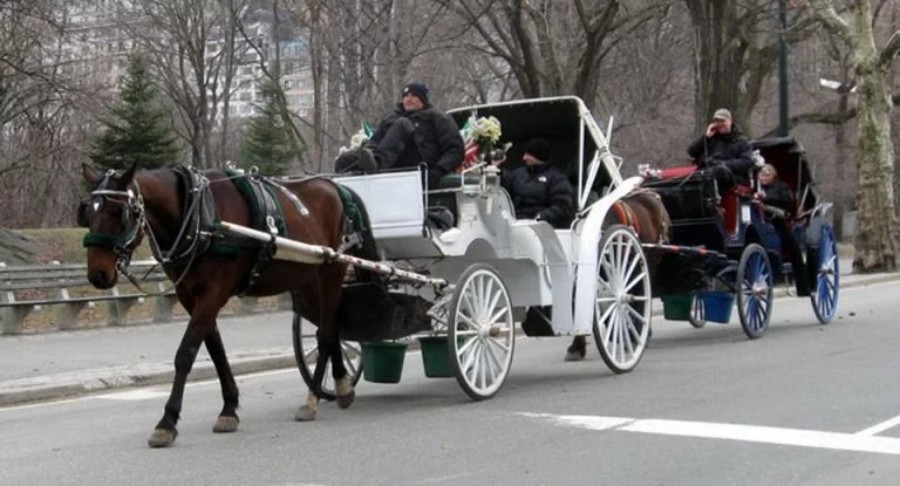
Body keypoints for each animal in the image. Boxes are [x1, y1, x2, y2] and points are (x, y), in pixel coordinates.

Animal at [74, 164, 376, 448]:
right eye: (87, 212)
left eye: (121, 213)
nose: (98, 274)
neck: (199, 217)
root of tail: (337, 188)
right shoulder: (190, 296)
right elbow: (216, 351)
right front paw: (229, 409)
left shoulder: (213, 294)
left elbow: (186, 354)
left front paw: (167, 422)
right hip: (308, 280)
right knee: (332, 328)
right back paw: (342, 385)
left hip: (331, 271)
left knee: (325, 334)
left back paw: (312, 397)